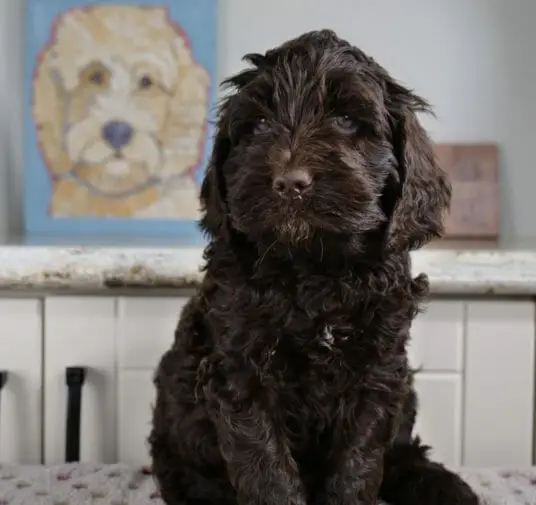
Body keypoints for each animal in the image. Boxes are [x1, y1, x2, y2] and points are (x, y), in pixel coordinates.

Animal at [149, 29, 480, 504]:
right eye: (259, 124)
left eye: (345, 120)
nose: (290, 183)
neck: (315, 271)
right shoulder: (240, 370)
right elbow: (265, 466)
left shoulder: (378, 371)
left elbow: (358, 461)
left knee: (404, 453)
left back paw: (446, 487)